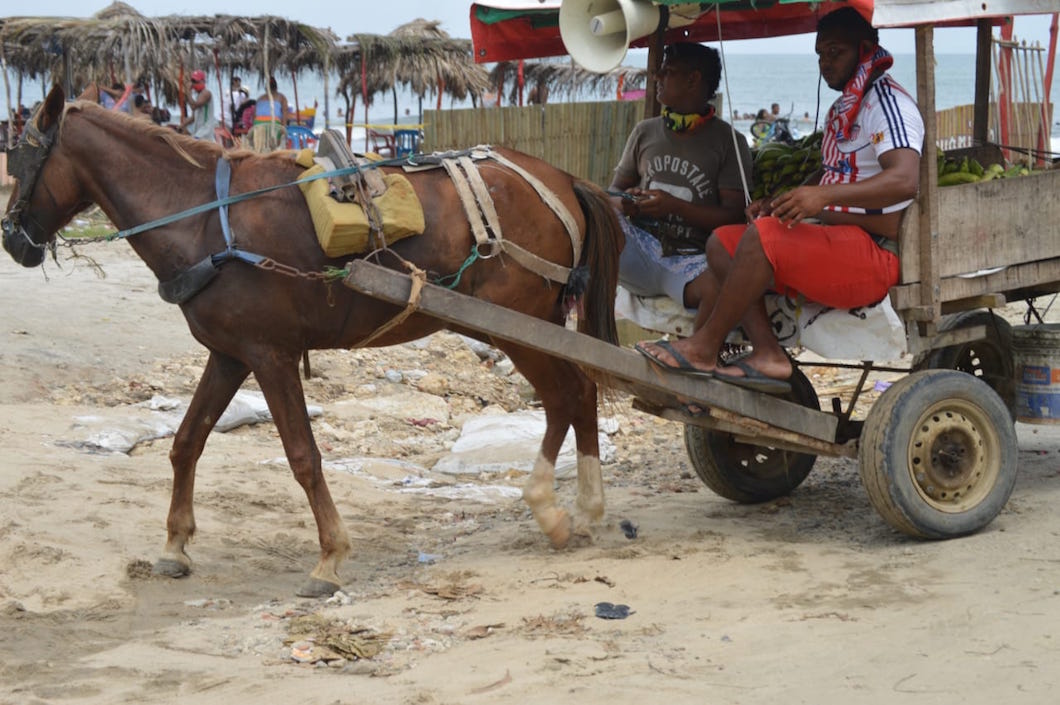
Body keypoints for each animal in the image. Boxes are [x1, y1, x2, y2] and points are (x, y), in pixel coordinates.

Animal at [2, 85, 619, 597]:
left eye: (24, 156)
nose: (11, 240)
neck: (204, 219)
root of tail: (561, 178)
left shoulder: (268, 354)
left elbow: (302, 456)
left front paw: (330, 557)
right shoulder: (229, 354)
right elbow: (186, 442)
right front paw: (175, 545)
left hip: (518, 325)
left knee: (566, 396)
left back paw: (552, 507)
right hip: (527, 324)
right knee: (582, 393)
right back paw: (588, 509)